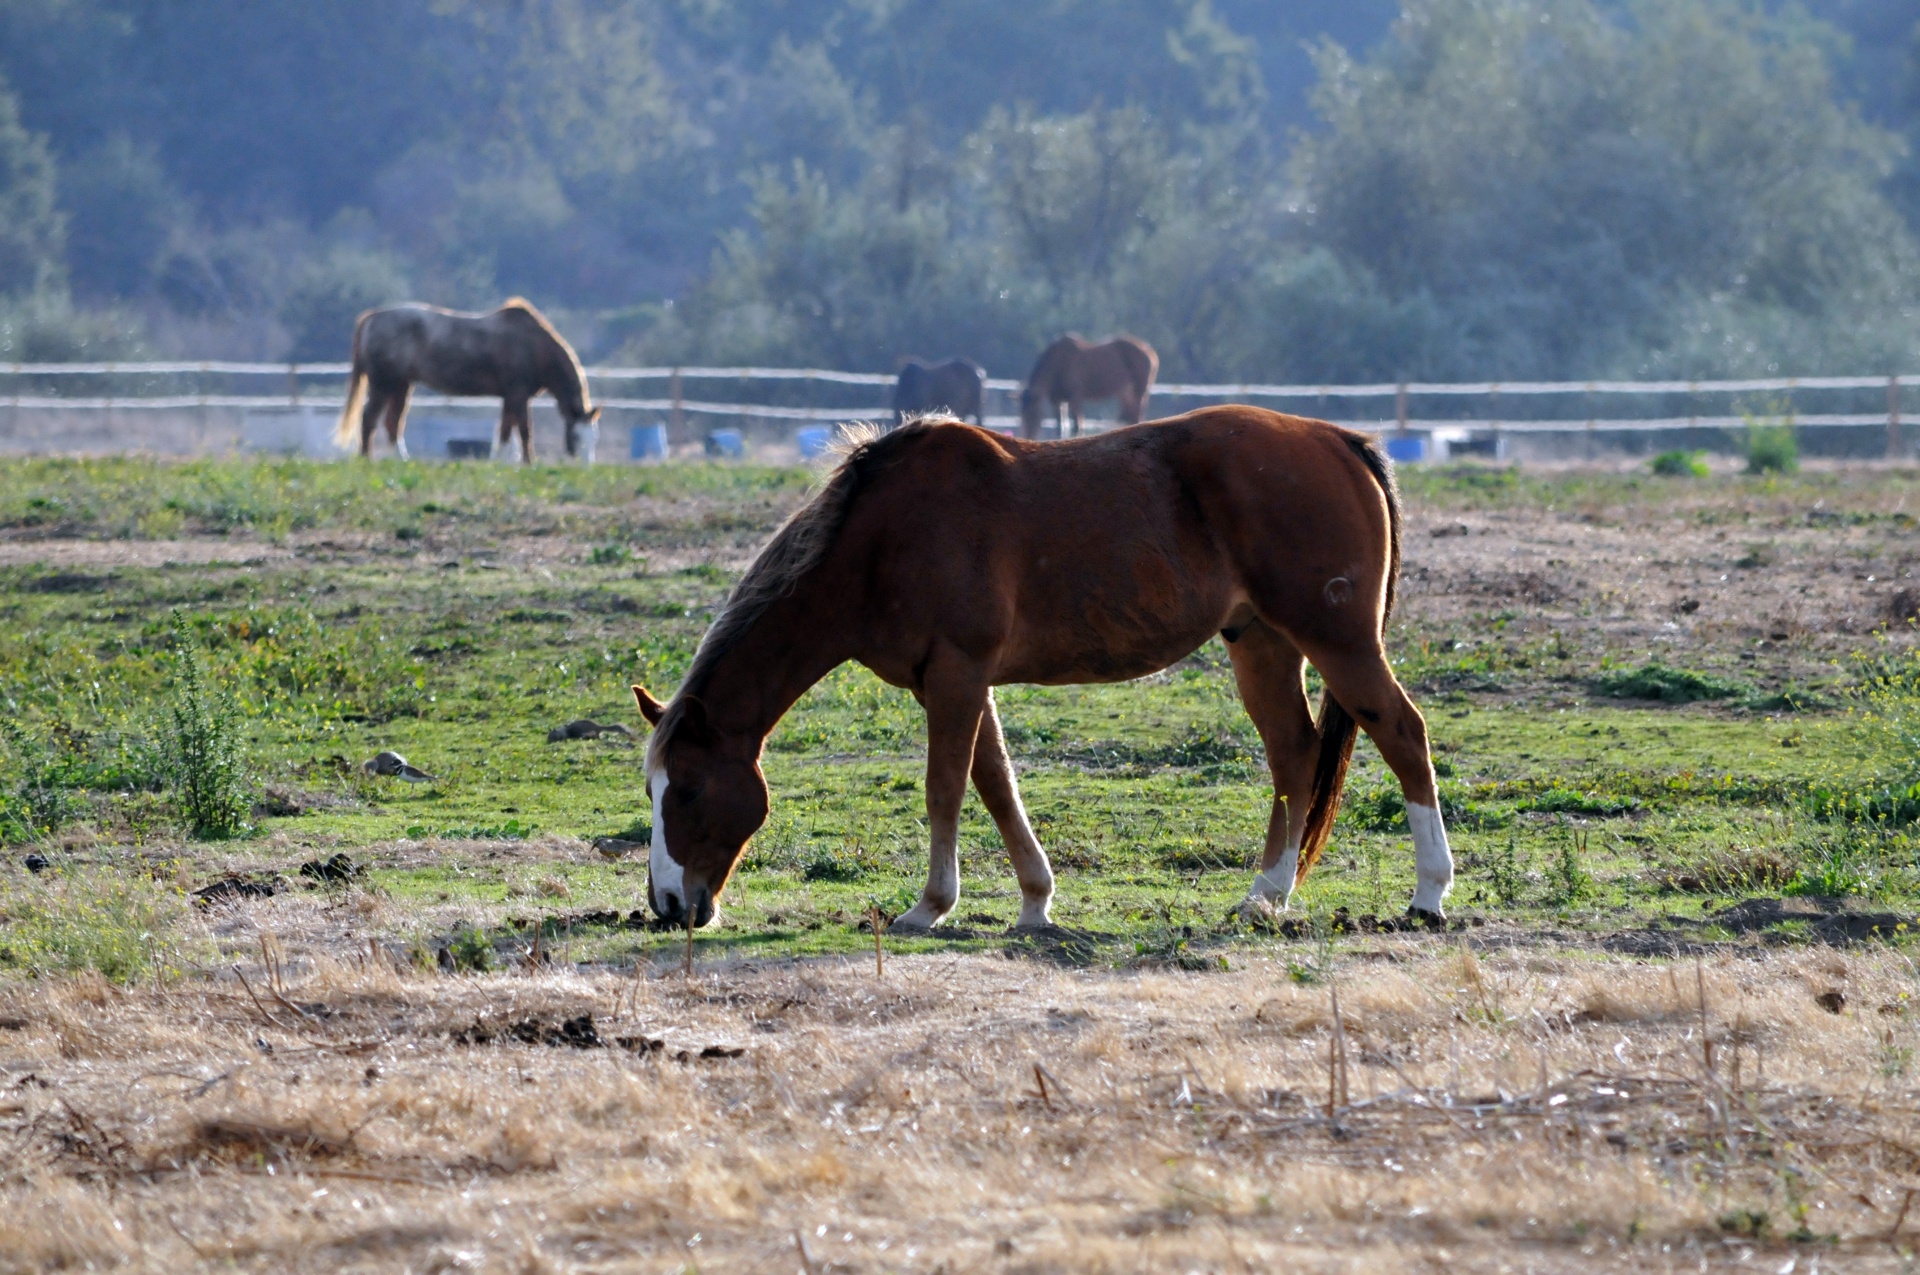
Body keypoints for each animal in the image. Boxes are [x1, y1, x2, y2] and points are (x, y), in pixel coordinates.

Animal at [332, 299, 599, 462]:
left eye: (594, 436)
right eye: (576, 435)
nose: (586, 465)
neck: (532, 345)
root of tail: (373, 317)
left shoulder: (510, 397)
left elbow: (505, 430)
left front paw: (499, 462)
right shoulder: (518, 395)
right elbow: (524, 430)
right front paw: (527, 462)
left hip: (401, 386)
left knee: (392, 424)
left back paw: (401, 460)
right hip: (382, 385)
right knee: (369, 419)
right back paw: (366, 458)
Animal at [633, 408, 1451, 937]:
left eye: (692, 788)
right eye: (652, 789)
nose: (667, 905)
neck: (880, 538)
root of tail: (1343, 441)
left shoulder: (957, 676)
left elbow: (946, 790)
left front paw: (930, 906)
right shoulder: (953, 681)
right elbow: (996, 786)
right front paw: (1034, 901)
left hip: (1338, 641)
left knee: (1402, 734)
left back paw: (1428, 895)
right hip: (1263, 644)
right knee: (1294, 754)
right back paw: (1265, 896)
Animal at [1021, 330, 1152, 441]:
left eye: (1034, 413)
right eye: (1022, 412)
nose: (1028, 437)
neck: (1059, 364)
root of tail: (1150, 352)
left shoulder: (1075, 399)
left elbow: (1077, 426)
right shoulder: (1057, 401)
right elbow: (1060, 428)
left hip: (1139, 393)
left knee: (1136, 417)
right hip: (1125, 394)